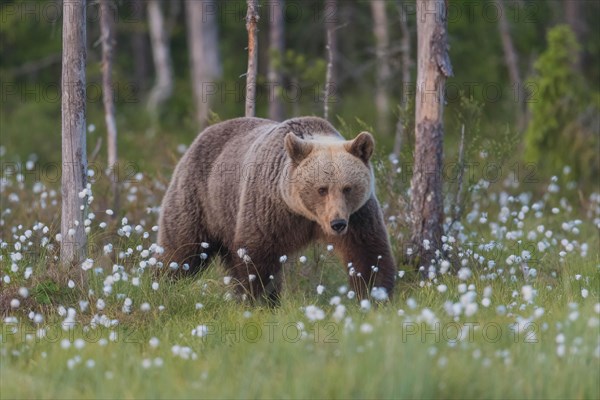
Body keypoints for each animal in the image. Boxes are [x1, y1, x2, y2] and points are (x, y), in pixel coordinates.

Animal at [157, 117, 396, 302]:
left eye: (348, 188)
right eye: (321, 189)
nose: (337, 224)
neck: (306, 215)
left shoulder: (358, 216)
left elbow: (368, 253)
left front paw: (375, 296)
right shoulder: (269, 208)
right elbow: (257, 258)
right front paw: (262, 301)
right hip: (200, 200)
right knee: (181, 249)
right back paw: (164, 283)